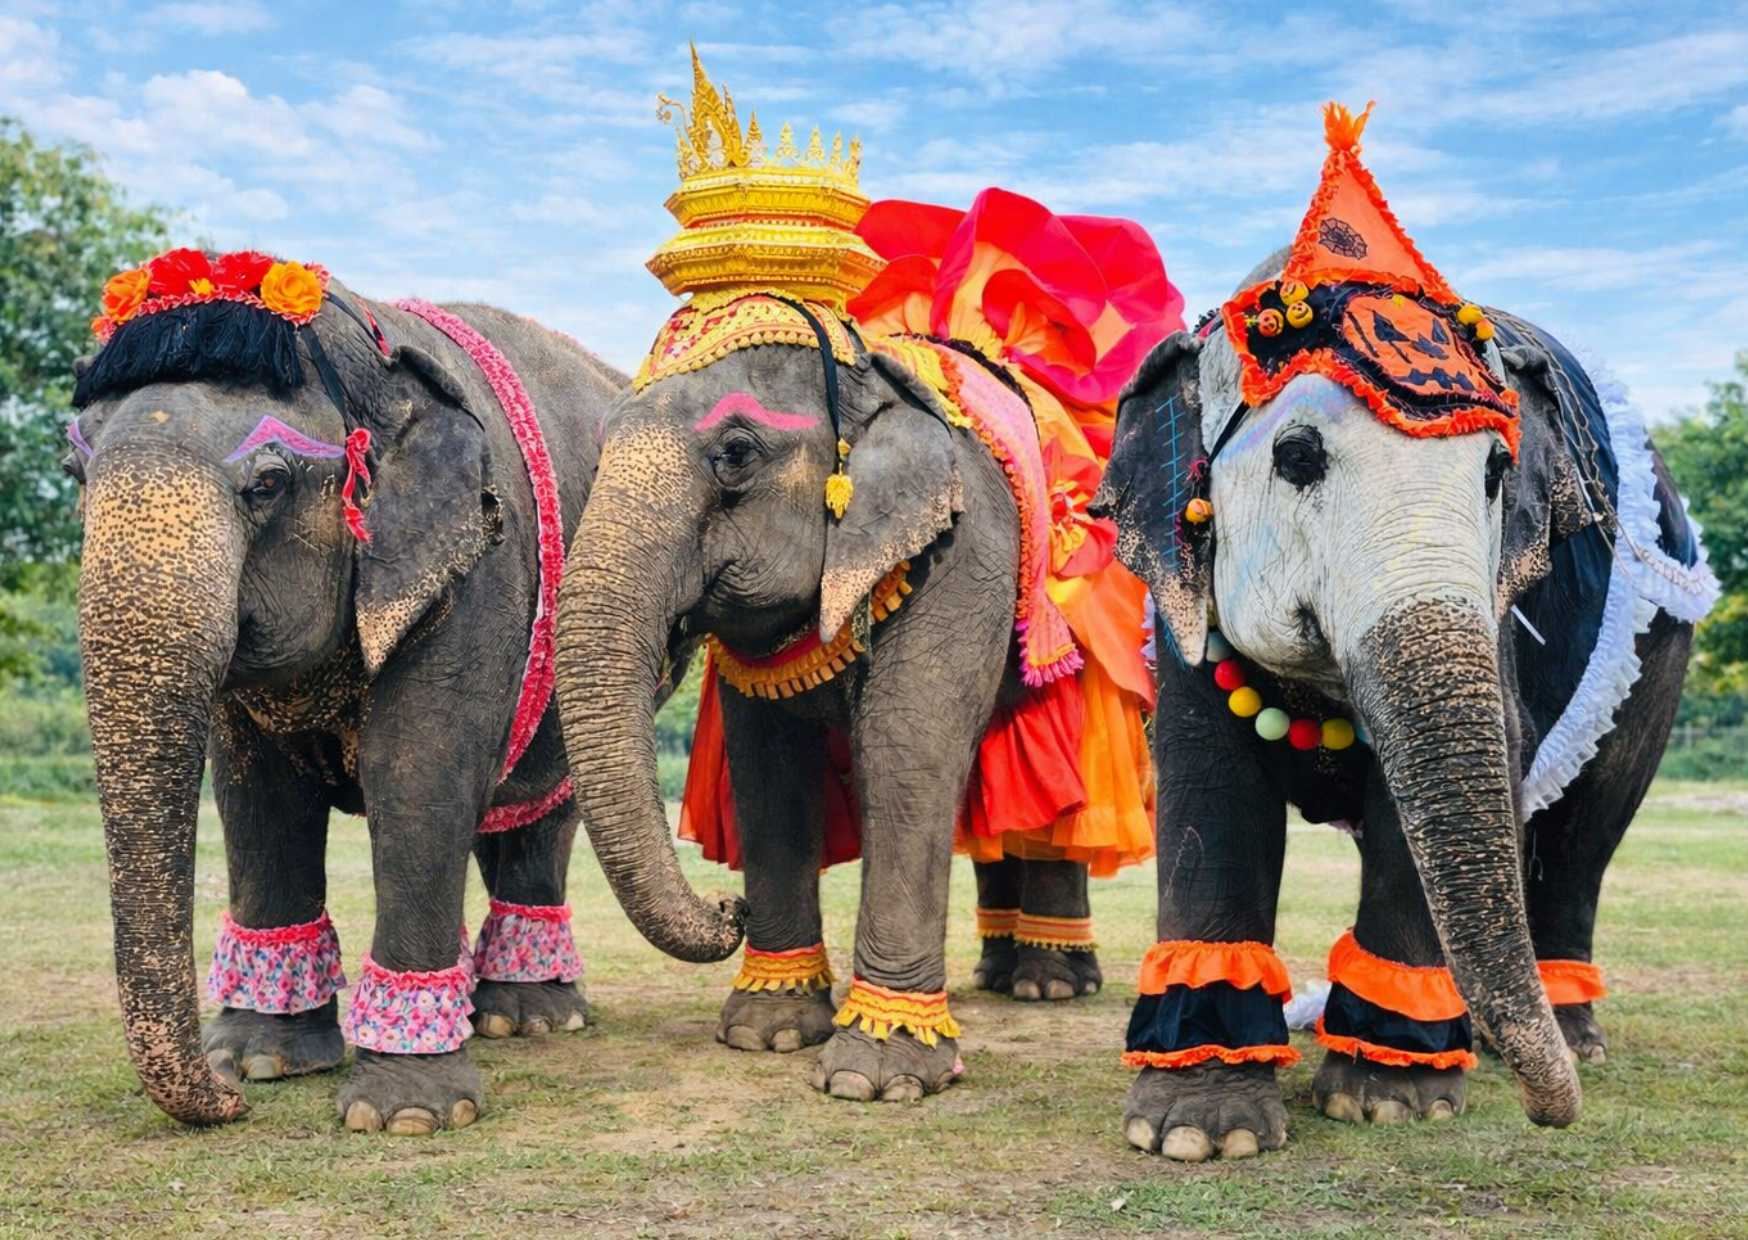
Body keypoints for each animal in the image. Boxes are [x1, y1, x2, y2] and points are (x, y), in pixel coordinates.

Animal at [67, 248, 626, 1133]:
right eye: (72, 472)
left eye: (266, 485)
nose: (224, 1103)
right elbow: (257, 797)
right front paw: (259, 1062)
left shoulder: (478, 566)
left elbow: (417, 777)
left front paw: (405, 1115)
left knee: (546, 807)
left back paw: (526, 1019)